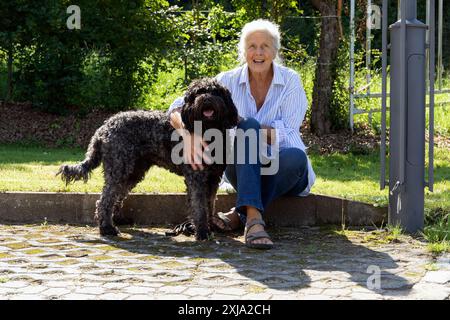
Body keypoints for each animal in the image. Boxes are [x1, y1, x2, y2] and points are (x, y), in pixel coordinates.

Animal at [58, 78, 239, 240]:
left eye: (216, 92)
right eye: (198, 92)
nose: (207, 98)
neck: (206, 131)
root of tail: (104, 127)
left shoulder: (213, 178)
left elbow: (209, 204)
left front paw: (209, 228)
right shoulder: (196, 177)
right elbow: (199, 206)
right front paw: (202, 232)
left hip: (132, 172)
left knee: (117, 195)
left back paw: (118, 220)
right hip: (119, 169)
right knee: (105, 199)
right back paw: (107, 228)